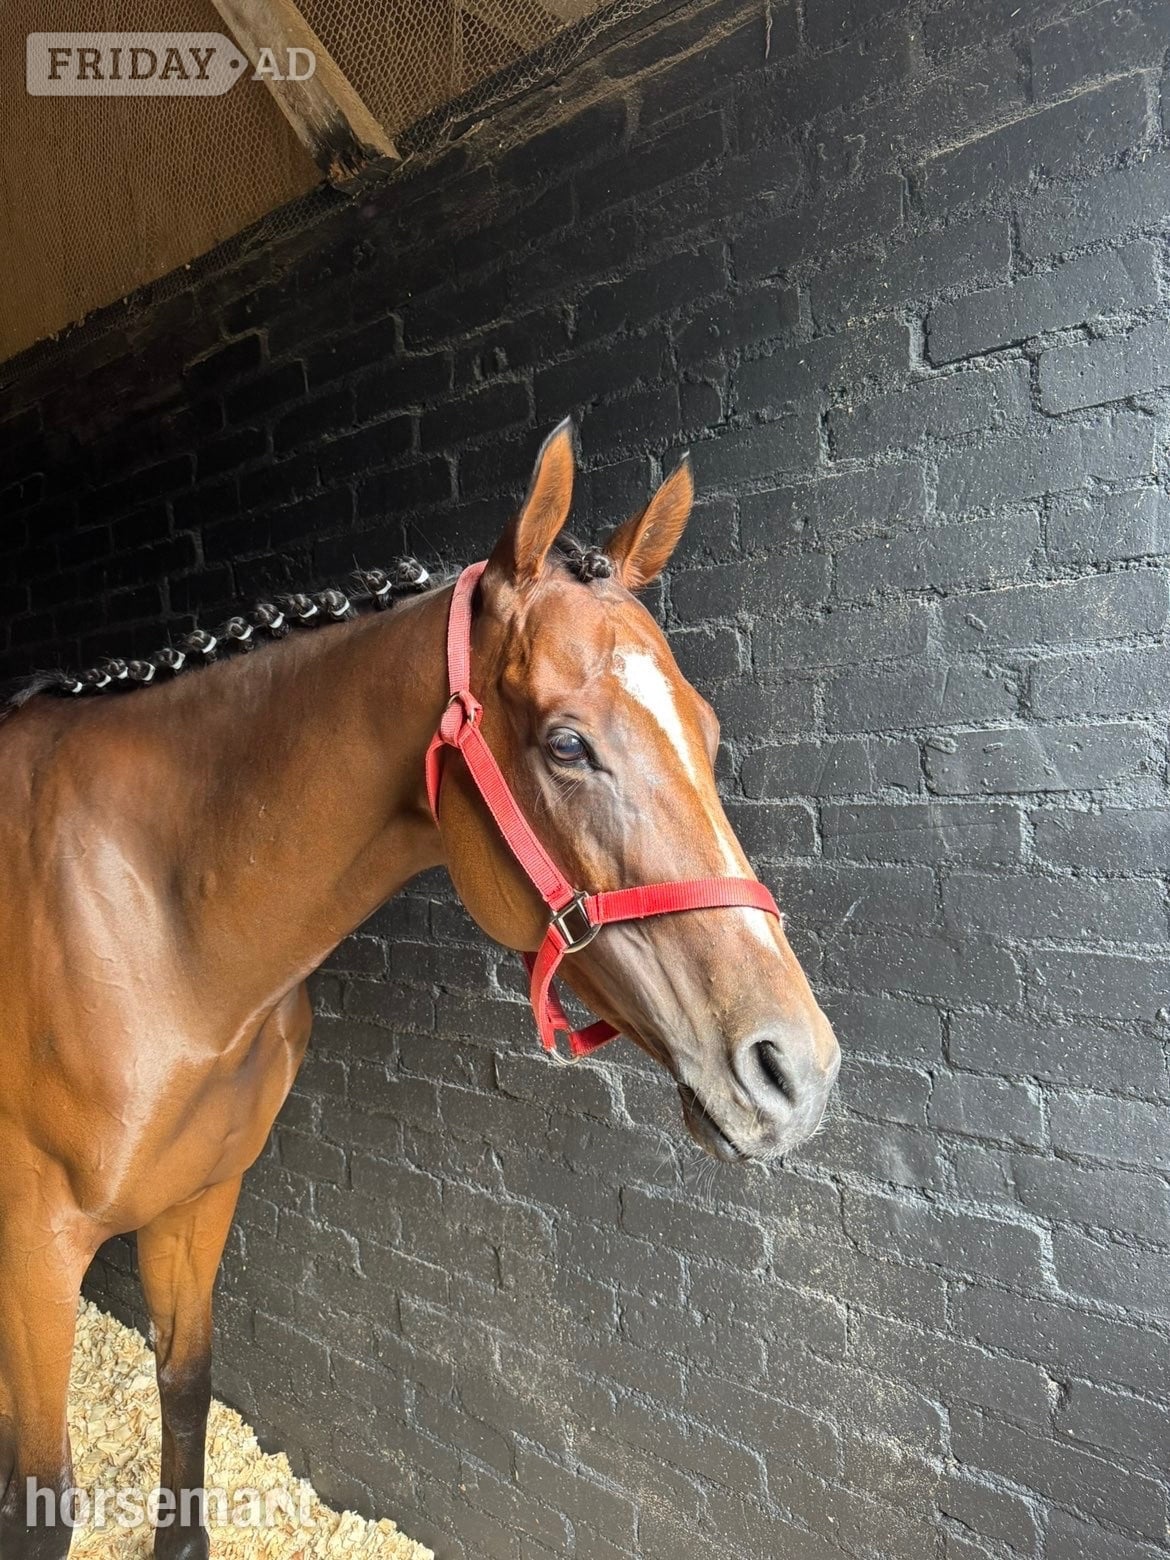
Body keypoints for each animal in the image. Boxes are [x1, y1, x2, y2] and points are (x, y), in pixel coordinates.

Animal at [0, 420, 839, 1558]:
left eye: (704, 735)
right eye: (566, 743)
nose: (793, 1070)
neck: (156, 915)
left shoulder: (200, 1196)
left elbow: (187, 1382)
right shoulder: (34, 1250)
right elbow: (42, 1498)